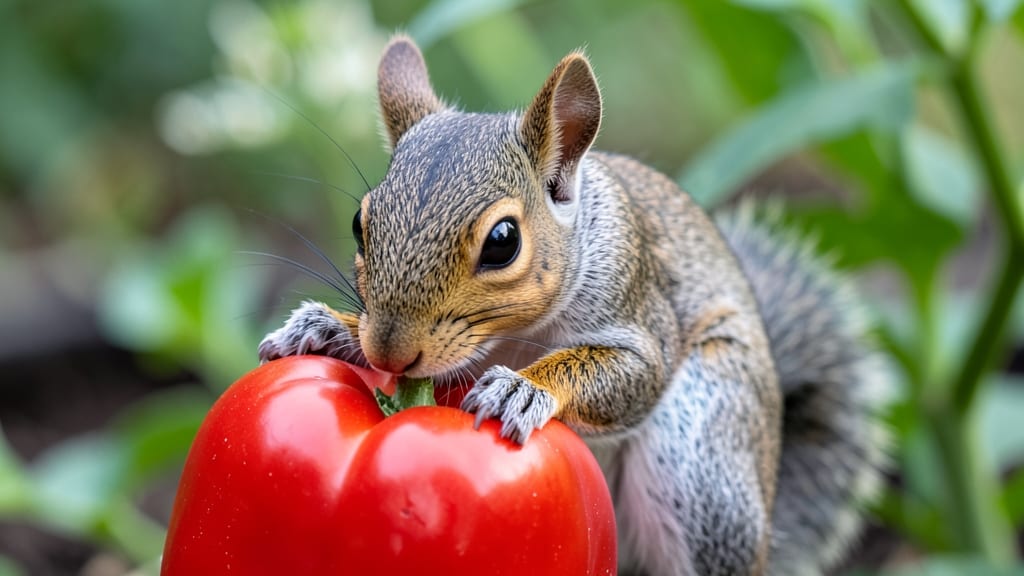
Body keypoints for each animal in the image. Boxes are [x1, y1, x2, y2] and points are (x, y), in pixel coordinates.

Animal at [258, 36, 888, 576]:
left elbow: (632, 375)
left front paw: (522, 389)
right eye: (358, 222)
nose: (389, 352)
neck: (515, 335)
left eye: (503, 241)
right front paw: (326, 328)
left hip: (703, 451)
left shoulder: (637, 310)